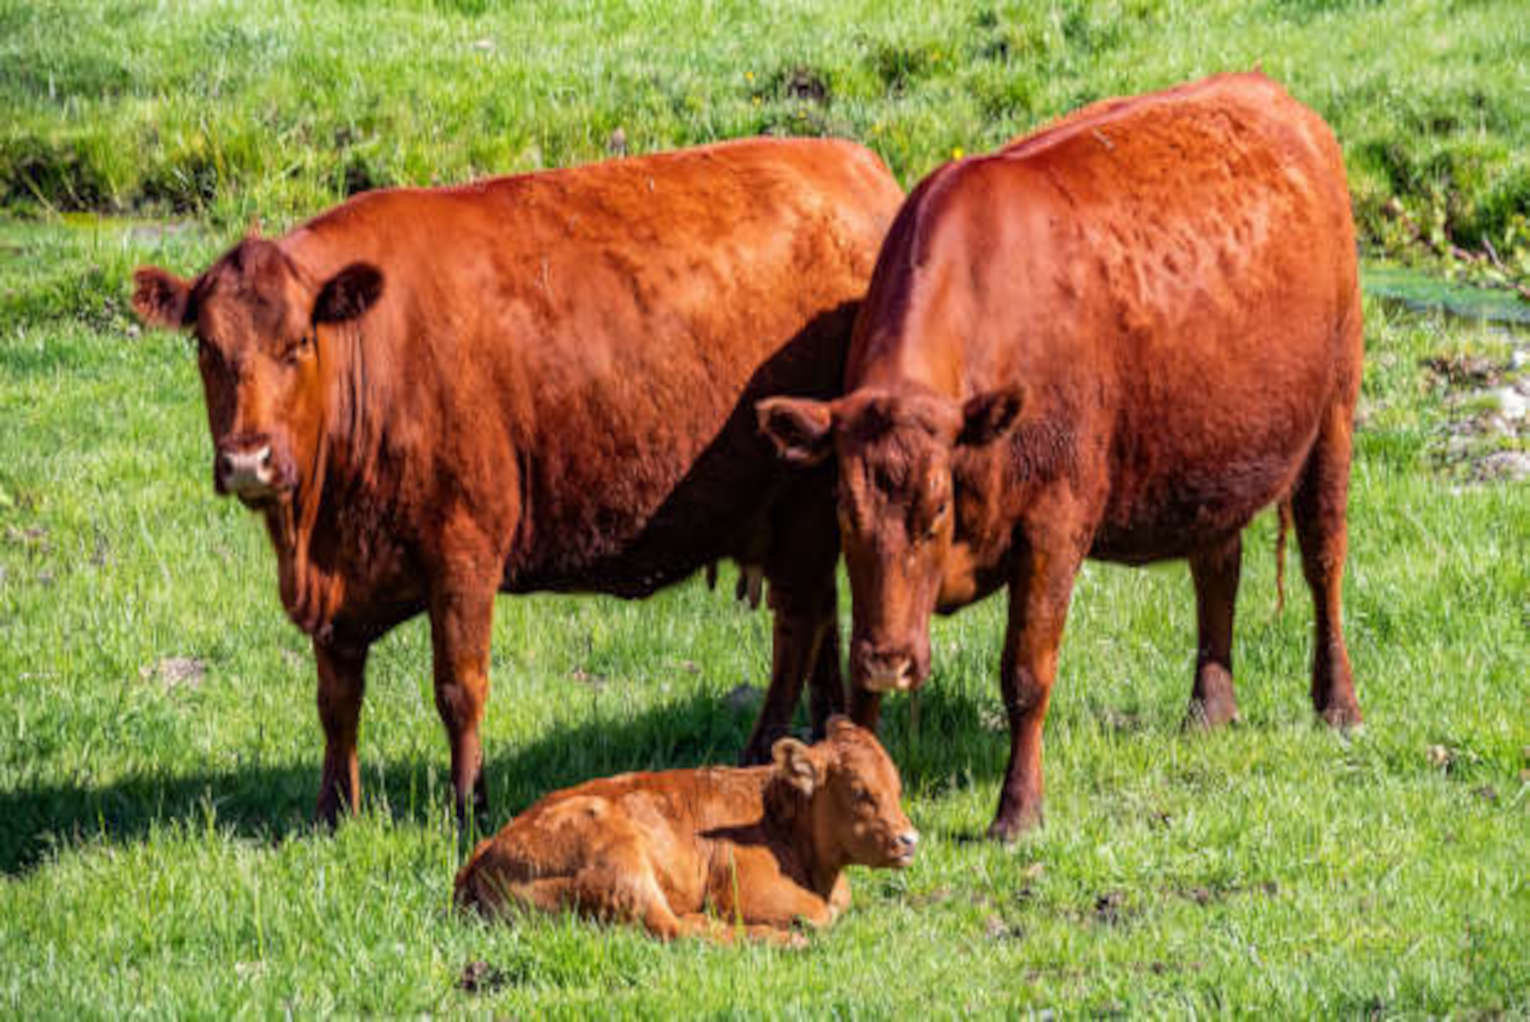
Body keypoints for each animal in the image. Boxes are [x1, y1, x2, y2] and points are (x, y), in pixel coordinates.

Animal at [131, 138, 904, 828]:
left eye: (298, 345)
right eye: (207, 347)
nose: (247, 461)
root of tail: (856, 166)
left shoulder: (465, 551)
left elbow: (459, 687)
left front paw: (468, 804)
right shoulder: (337, 583)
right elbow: (336, 697)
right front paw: (333, 810)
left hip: (801, 507)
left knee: (797, 625)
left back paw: (757, 753)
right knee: (821, 619)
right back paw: (822, 733)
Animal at [454, 717, 917, 944]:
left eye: (897, 785)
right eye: (859, 791)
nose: (909, 840)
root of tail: (485, 849)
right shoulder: (745, 887)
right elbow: (821, 913)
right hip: (621, 863)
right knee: (673, 929)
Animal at [757, 73, 1365, 841]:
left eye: (937, 511)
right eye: (842, 510)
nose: (890, 661)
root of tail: (1274, 96)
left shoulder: (1053, 527)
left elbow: (1025, 673)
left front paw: (1018, 811)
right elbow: (859, 700)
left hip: (1333, 417)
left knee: (1324, 560)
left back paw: (1338, 704)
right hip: (1210, 451)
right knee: (1217, 566)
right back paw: (1209, 707)